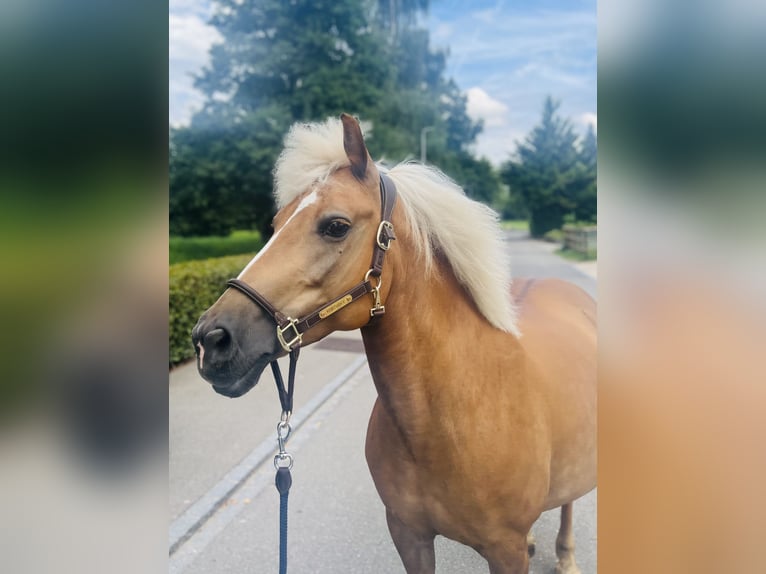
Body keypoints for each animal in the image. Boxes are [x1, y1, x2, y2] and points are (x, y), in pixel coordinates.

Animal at [192, 115, 600, 572]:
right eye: (277, 223)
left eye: (335, 225)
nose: (210, 339)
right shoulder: (409, 536)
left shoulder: (504, 551)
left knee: (569, 502)